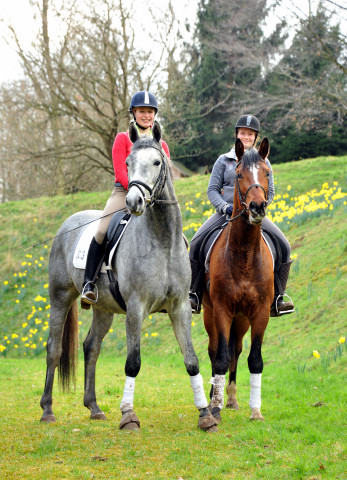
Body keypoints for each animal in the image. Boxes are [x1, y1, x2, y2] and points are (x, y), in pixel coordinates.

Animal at [40, 120, 218, 432]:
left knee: (92, 347)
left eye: (158, 161)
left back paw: (94, 407)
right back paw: (47, 410)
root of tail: (67, 224)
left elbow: (192, 360)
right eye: (127, 162)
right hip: (60, 298)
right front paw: (128, 416)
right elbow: (133, 362)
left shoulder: (180, 307)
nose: (134, 200)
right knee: (54, 348)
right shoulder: (136, 308)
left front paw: (205, 415)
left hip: (103, 308)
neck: (162, 241)